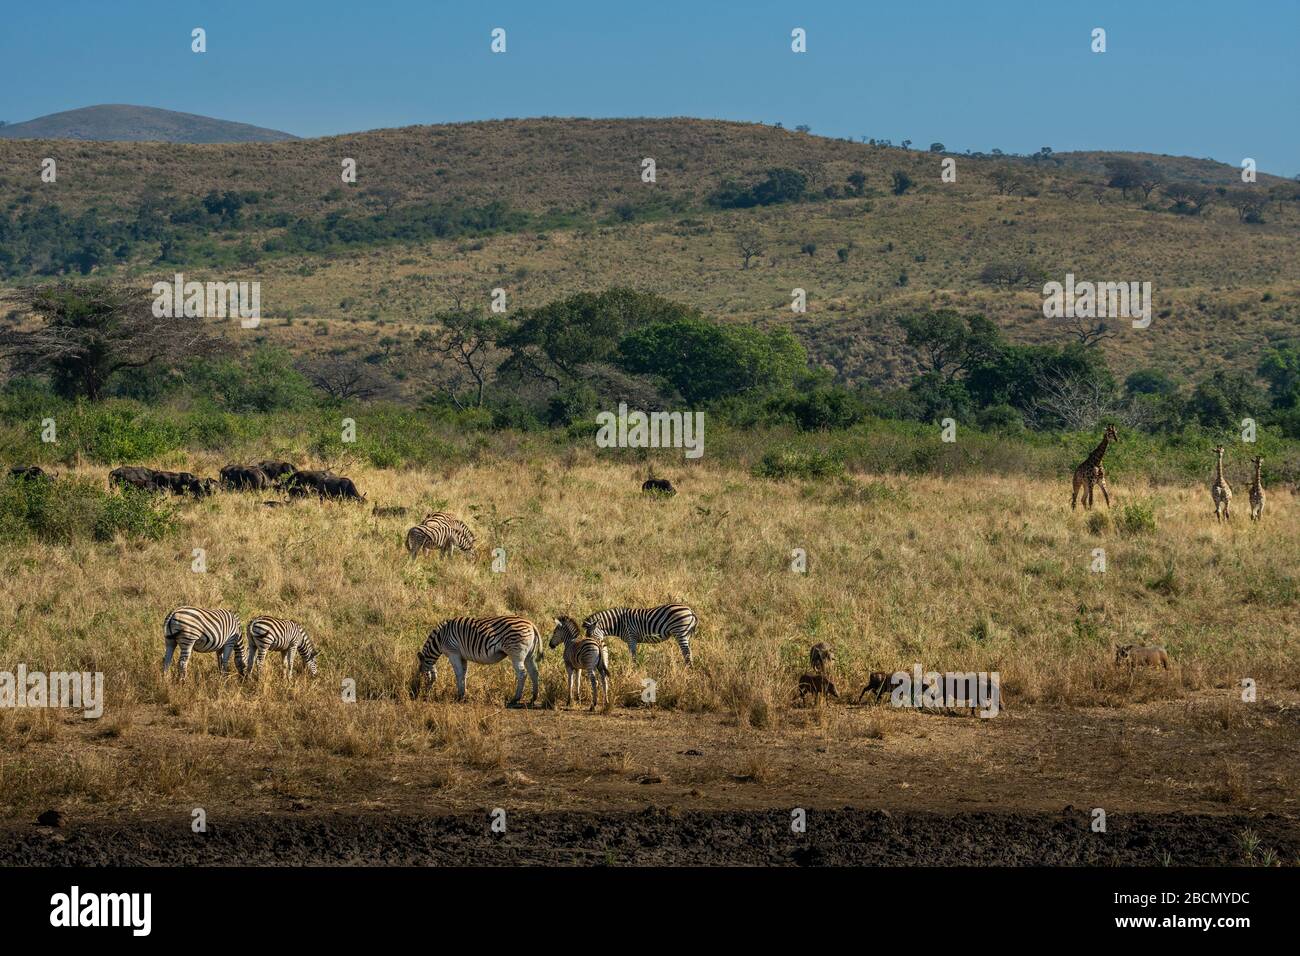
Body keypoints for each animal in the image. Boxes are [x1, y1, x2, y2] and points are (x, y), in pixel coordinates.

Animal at [410, 616, 543, 707]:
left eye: (422, 674)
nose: (424, 696)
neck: (439, 638)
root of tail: (531, 624)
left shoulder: (453, 653)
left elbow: (458, 674)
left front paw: (459, 696)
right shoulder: (462, 656)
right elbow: (464, 674)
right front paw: (464, 694)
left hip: (516, 654)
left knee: (522, 674)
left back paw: (515, 699)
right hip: (529, 655)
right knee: (534, 672)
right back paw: (533, 698)